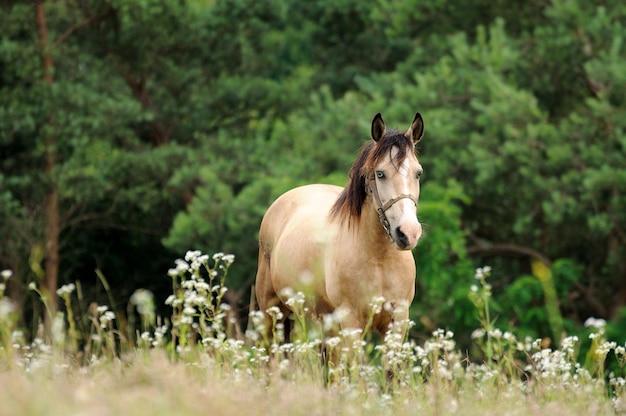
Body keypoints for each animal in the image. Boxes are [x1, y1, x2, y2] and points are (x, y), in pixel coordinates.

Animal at [254, 112, 424, 342]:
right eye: (380, 174)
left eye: (418, 173)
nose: (408, 233)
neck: (379, 259)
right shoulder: (351, 323)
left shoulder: (397, 323)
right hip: (271, 313)